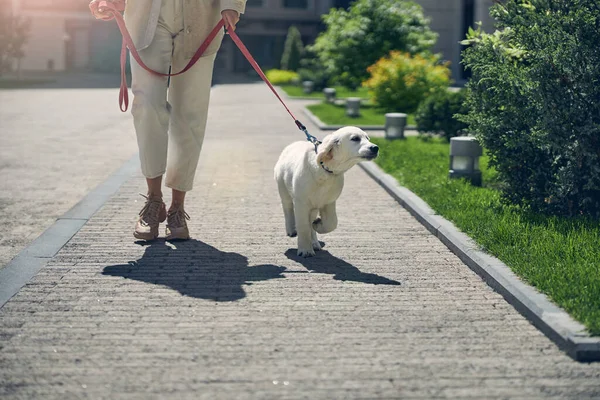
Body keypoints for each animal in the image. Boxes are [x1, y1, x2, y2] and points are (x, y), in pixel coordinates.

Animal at [274, 126, 378, 256]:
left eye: (368, 138)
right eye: (355, 138)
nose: (375, 148)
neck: (325, 170)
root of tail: (293, 144)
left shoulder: (329, 201)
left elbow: (332, 223)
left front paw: (318, 224)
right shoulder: (301, 202)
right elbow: (303, 226)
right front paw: (305, 250)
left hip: (313, 206)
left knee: (310, 219)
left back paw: (314, 242)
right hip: (283, 187)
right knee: (287, 207)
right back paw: (291, 229)